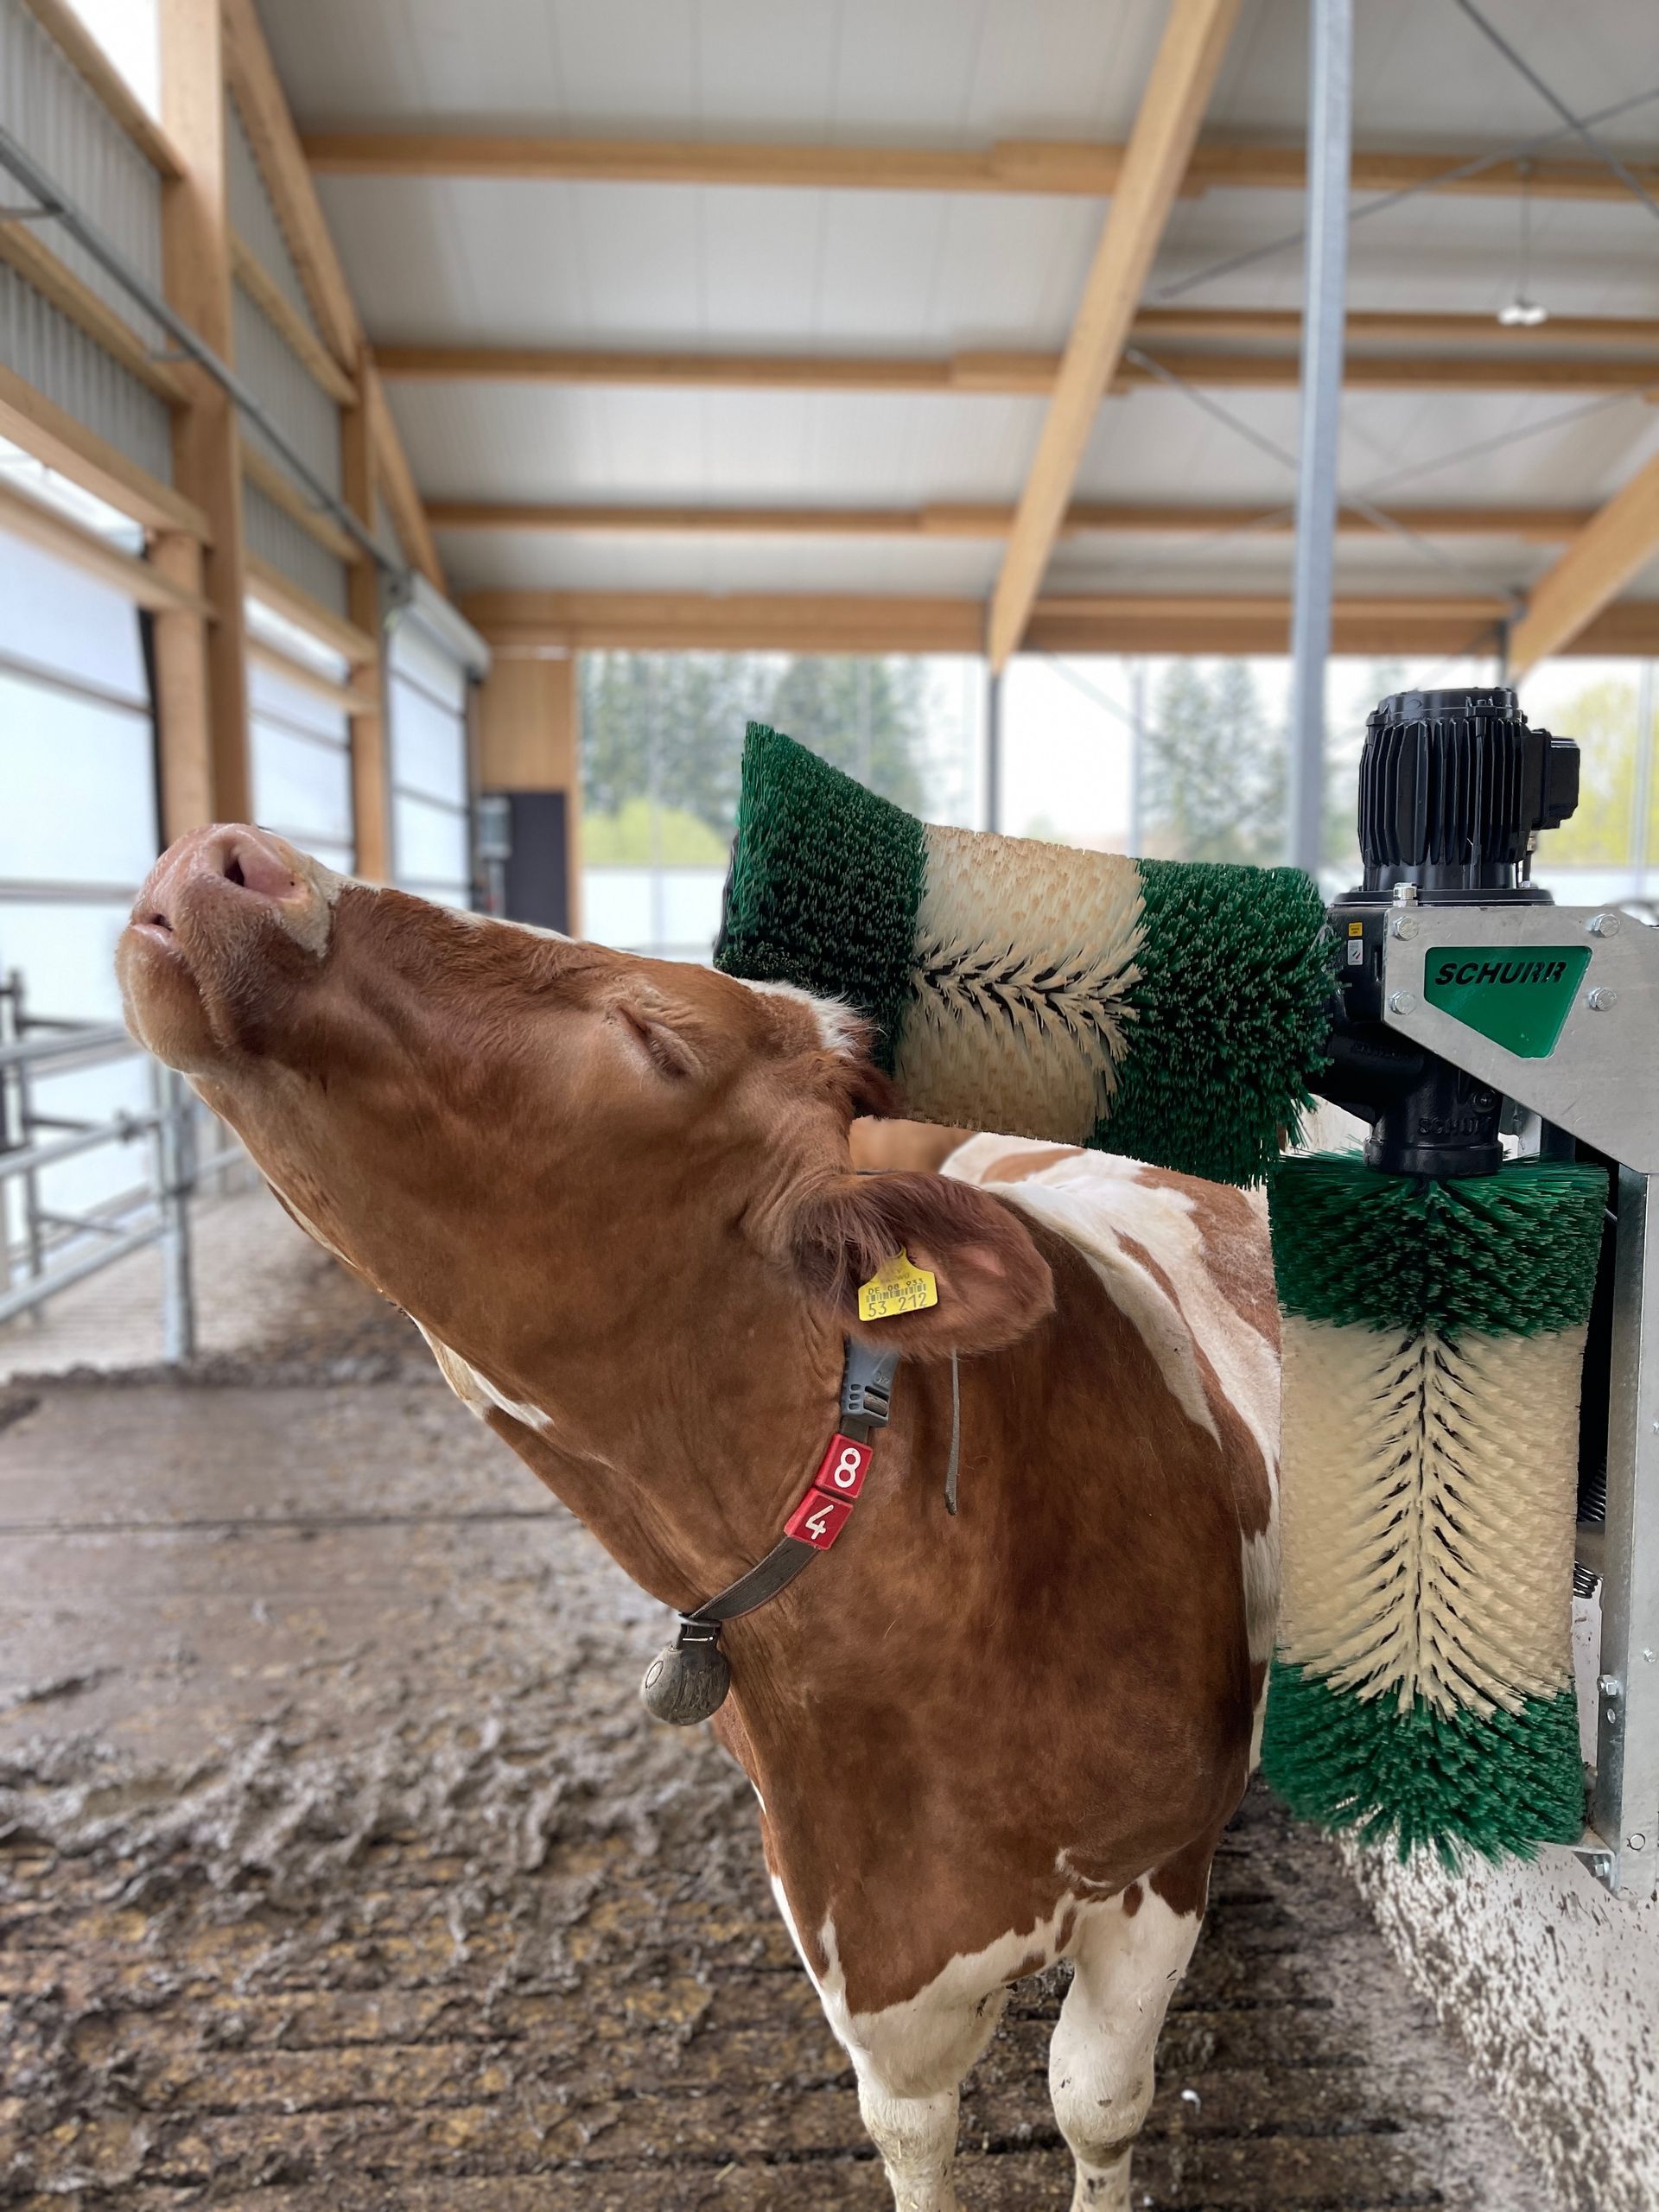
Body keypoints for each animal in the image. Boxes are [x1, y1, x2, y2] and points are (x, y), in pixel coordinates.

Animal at [118, 823, 1279, 2212]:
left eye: (656, 1038)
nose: (227, 856)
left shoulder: (1155, 1874)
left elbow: (1095, 2103)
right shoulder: (852, 1935)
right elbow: (912, 2131)